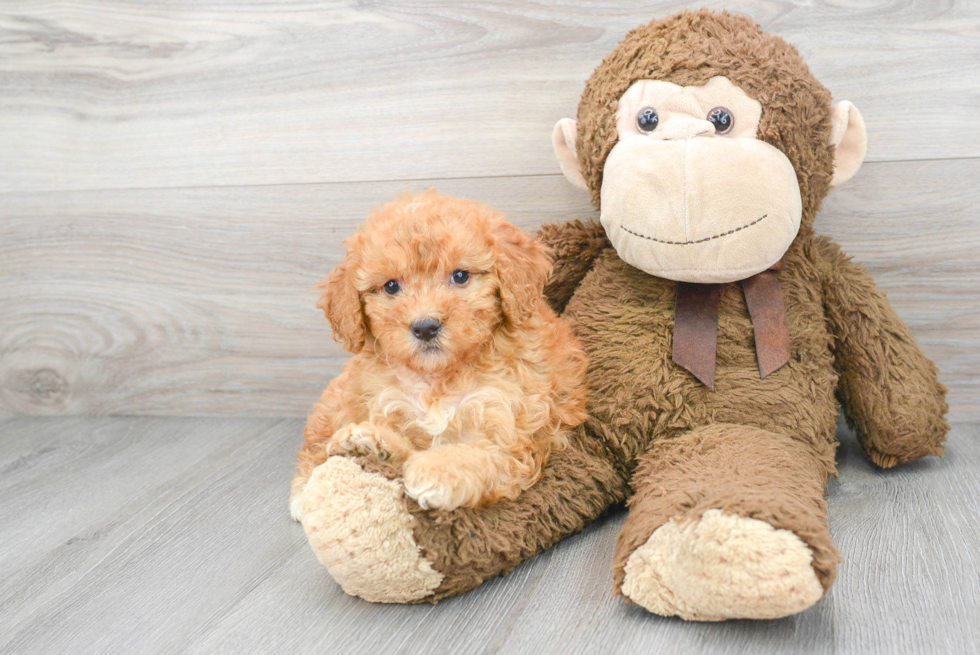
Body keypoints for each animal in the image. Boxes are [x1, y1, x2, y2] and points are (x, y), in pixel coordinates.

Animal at [288, 192, 584, 520]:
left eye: (460, 276)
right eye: (391, 286)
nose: (425, 326)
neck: (437, 378)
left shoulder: (509, 428)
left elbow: (475, 455)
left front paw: (434, 471)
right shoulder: (388, 401)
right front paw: (377, 445)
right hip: (341, 397)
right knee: (316, 440)